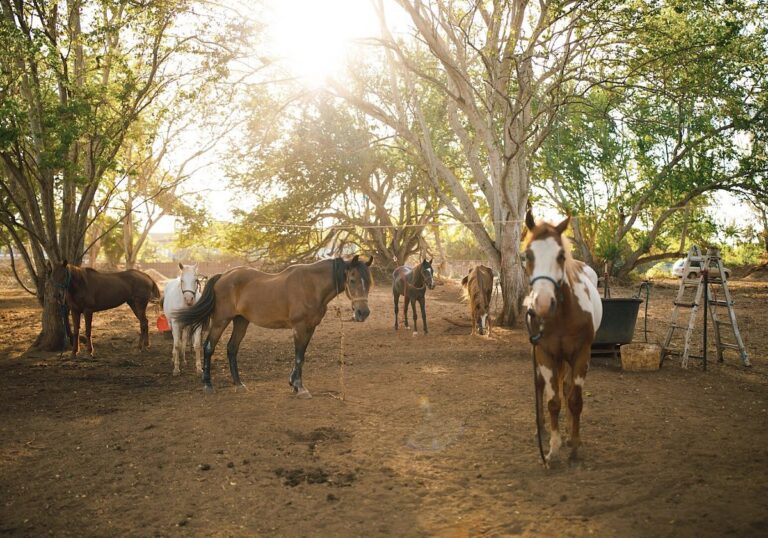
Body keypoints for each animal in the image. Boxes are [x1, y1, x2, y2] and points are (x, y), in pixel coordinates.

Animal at [177, 253, 376, 396]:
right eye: (352, 280)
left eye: (369, 283)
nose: (363, 313)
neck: (311, 286)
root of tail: (223, 276)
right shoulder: (299, 327)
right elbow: (298, 356)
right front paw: (299, 387)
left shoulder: (310, 327)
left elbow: (302, 355)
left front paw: (293, 383)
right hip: (221, 320)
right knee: (208, 347)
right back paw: (208, 384)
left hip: (241, 321)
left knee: (232, 349)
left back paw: (239, 384)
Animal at [524, 207, 604, 462]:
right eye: (527, 255)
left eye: (560, 255)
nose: (542, 305)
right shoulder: (545, 354)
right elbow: (553, 401)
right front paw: (552, 447)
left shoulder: (581, 354)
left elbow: (574, 399)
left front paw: (574, 443)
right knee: (541, 385)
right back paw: (540, 427)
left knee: (568, 387)